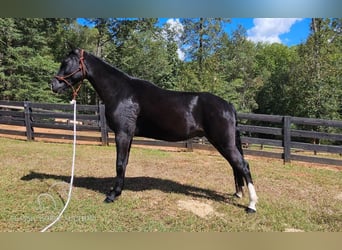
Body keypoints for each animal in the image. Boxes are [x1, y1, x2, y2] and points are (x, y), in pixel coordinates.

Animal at [50, 48, 258, 213]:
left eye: (66, 63)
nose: (54, 85)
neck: (122, 92)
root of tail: (228, 105)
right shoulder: (129, 136)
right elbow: (125, 163)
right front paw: (117, 191)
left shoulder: (122, 134)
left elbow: (119, 163)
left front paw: (112, 195)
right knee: (235, 166)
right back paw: (238, 194)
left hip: (223, 142)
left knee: (243, 165)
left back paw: (251, 205)